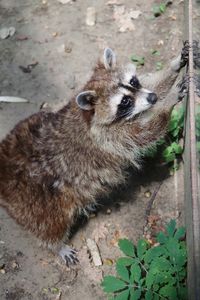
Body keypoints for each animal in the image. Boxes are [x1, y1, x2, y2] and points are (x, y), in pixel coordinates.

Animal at [0, 45, 188, 264]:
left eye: (133, 82)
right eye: (125, 101)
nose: (153, 99)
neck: (89, 115)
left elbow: (153, 85)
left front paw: (173, 66)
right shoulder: (107, 139)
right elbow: (144, 133)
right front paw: (168, 102)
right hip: (35, 200)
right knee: (50, 223)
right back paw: (56, 245)